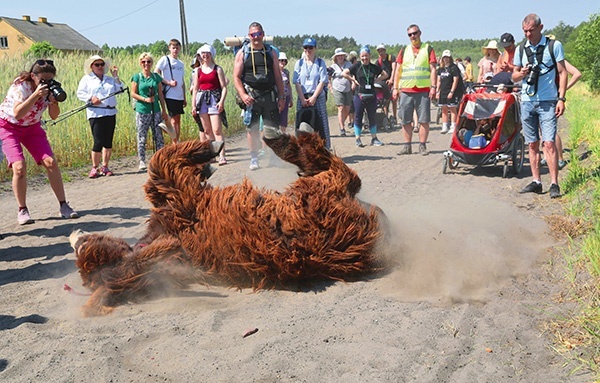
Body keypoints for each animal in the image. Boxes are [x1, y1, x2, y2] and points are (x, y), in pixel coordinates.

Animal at [71, 127, 390, 316]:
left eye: (84, 248)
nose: (77, 236)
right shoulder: (184, 201)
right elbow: (161, 164)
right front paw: (208, 149)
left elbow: (160, 168)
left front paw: (205, 160)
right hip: (320, 193)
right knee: (340, 171)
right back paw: (289, 141)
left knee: (337, 171)